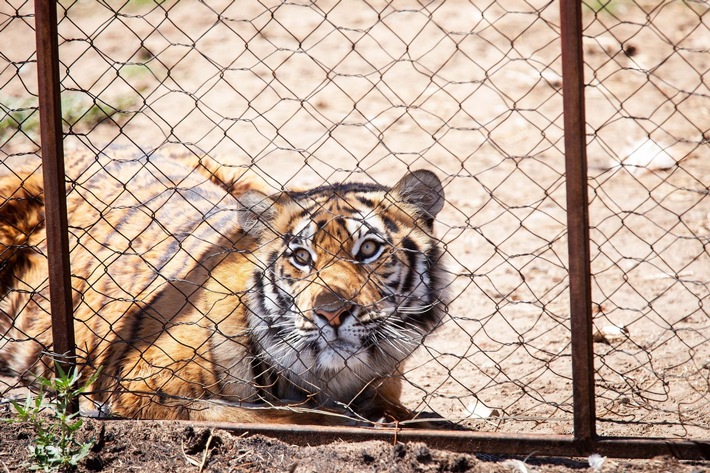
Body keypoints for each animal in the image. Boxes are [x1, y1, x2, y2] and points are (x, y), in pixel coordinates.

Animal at [1, 147, 450, 424]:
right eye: (301, 257)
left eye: (369, 249)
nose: (331, 311)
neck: (329, 377)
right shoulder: (137, 387)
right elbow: (270, 413)